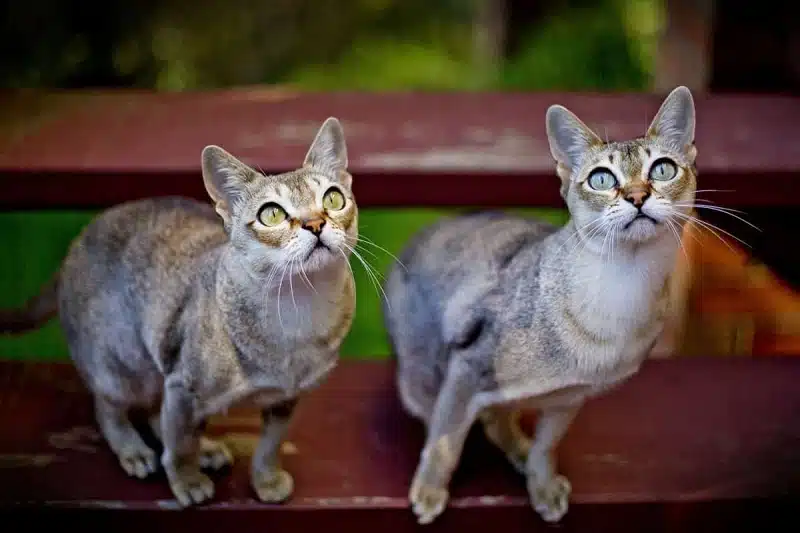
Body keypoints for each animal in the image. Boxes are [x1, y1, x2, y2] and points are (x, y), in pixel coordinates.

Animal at [0, 116, 358, 508]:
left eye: (333, 198)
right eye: (272, 214)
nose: (315, 224)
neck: (298, 315)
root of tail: (75, 243)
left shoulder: (284, 398)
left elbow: (269, 445)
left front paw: (266, 480)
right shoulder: (184, 384)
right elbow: (180, 445)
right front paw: (187, 482)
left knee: (158, 413)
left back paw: (207, 449)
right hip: (125, 366)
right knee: (110, 407)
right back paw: (134, 450)